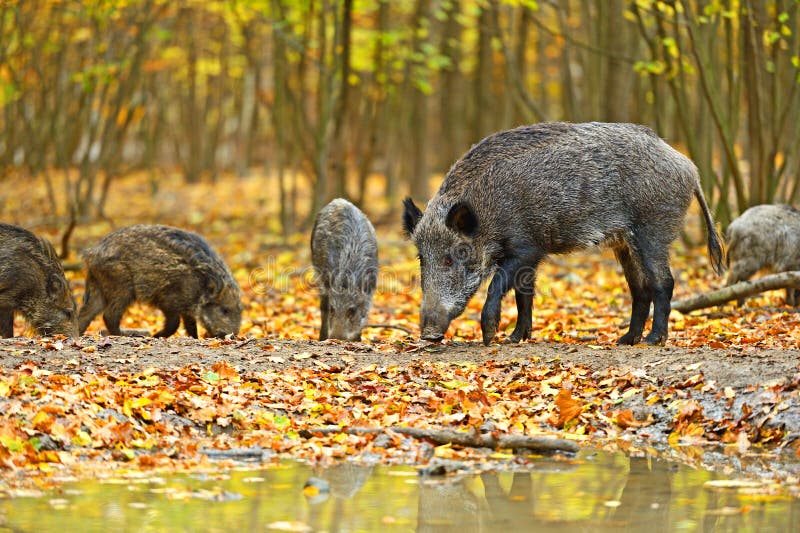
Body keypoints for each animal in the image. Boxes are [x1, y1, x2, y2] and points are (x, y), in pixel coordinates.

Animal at [77, 224, 242, 338]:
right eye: (224, 310)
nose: (232, 336)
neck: (202, 284)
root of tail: (92, 253)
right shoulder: (169, 299)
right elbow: (175, 323)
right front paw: (156, 336)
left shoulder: (186, 305)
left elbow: (189, 325)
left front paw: (195, 338)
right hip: (121, 286)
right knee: (109, 315)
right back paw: (125, 335)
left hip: (99, 285)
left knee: (86, 312)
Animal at [403, 122, 724, 346]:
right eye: (421, 259)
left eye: (452, 257)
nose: (428, 333)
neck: (488, 211)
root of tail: (690, 168)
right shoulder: (529, 257)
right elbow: (524, 293)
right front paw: (515, 338)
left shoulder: (527, 246)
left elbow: (499, 285)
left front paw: (491, 336)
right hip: (624, 243)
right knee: (639, 288)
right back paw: (625, 340)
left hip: (654, 230)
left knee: (663, 282)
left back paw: (653, 340)